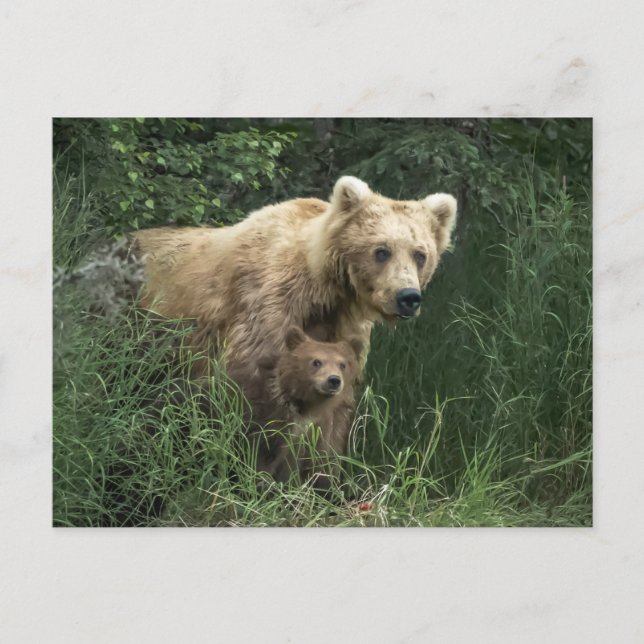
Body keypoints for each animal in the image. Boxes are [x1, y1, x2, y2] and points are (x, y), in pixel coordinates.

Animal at [131, 176, 458, 377]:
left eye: (420, 254)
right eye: (382, 251)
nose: (408, 297)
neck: (325, 291)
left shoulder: (340, 326)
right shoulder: (267, 310)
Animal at [228, 326, 362, 490]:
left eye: (342, 365)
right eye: (316, 362)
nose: (334, 380)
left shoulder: (314, 430)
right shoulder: (267, 419)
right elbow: (261, 456)